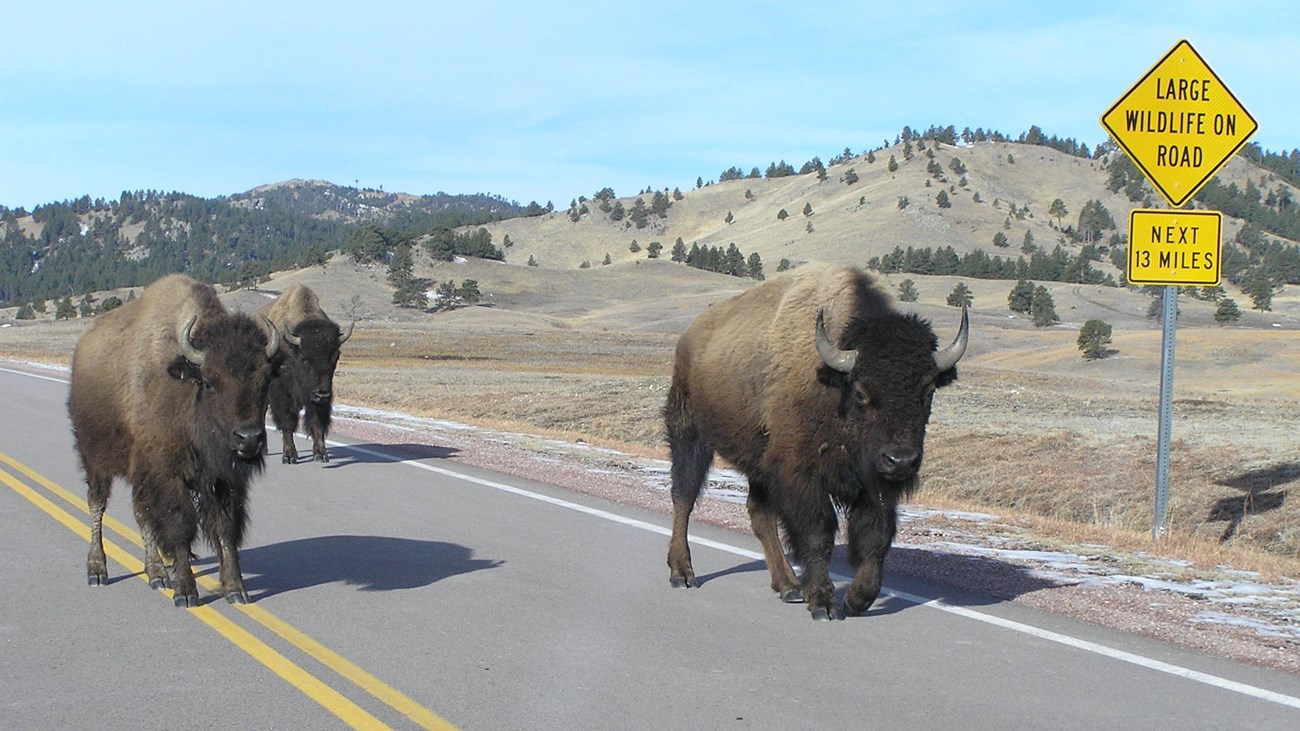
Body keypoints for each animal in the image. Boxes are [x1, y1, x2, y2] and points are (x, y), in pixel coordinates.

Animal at [69, 273, 280, 603]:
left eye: (265, 379)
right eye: (209, 381)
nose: (248, 438)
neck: (184, 390)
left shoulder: (223, 480)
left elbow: (225, 529)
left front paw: (235, 589)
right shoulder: (168, 476)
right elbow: (180, 525)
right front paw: (186, 592)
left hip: (138, 474)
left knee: (141, 515)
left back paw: (156, 574)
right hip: (95, 460)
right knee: (96, 506)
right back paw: (97, 571)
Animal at [254, 283, 351, 460]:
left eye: (335, 357)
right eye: (305, 358)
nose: (322, 395)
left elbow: (316, 422)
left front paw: (321, 453)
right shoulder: (281, 393)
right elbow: (287, 422)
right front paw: (289, 455)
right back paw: (263, 449)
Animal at [670, 264, 967, 616]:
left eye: (929, 391)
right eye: (861, 391)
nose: (901, 460)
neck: (833, 383)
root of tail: (689, 338)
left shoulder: (875, 483)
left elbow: (876, 537)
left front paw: (857, 599)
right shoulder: (801, 473)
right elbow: (818, 534)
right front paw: (824, 603)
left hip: (760, 462)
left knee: (759, 514)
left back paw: (789, 586)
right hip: (689, 434)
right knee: (684, 497)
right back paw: (682, 573)